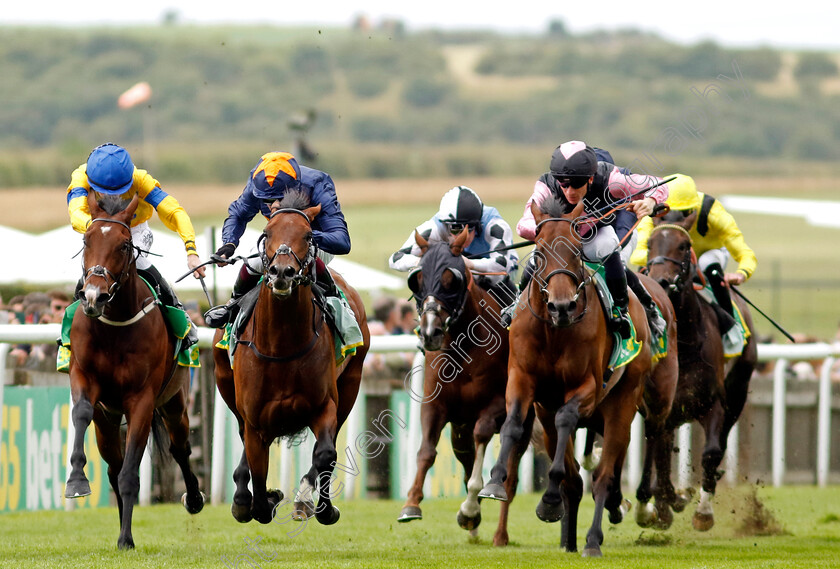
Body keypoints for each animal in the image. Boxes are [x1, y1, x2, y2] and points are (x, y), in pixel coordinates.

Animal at [64, 193, 205, 548]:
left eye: (125, 244)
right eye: (86, 240)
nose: (94, 296)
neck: (114, 325)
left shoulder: (141, 400)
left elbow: (132, 473)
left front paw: (126, 539)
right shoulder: (84, 378)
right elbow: (81, 412)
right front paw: (76, 480)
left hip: (175, 401)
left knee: (179, 448)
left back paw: (194, 498)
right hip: (108, 420)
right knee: (113, 466)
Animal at [212, 193, 370, 524]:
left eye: (308, 235)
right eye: (267, 232)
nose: (282, 273)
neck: (281, 345)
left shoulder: (324, 404)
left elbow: (325, 453)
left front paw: (322, 507)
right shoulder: (254, 415)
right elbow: (257, 474)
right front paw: (260, 498)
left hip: (352, 383)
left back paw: (303, 499)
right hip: (226, 386)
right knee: (242, 435)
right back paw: (242, 496)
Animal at [398, 226, 528, 544]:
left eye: (451, 279)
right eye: (417, 278)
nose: (430, 332)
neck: (464, 347)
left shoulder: (496, 405)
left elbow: (483, 441)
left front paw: (469, 507)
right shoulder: (436, 405)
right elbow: (426, 451)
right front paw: (411, 504)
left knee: (510, 477)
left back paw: (499, 534)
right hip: (460, 426)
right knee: (465, 456)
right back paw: (475, 527)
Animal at [480, 197, 656, 556]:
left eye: (576, 250)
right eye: (539, 252)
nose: (561, 306)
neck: (554, 332)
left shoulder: (585, 387)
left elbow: (567, 420)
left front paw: (548, 500)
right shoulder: (523, 381)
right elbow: (512, 424)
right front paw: (494, 482)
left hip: (622, 404)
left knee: (603, 477)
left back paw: (592, 540)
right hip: (549, 413)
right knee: (575, 478)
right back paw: (572, 537)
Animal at [644, 220, 760, 532]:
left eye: (684, 246)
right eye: (649, 244)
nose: (661, 282)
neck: (684, 346)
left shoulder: (712, 403)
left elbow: (711, 452)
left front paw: (703, 512)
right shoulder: (661, 410)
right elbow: (660, 456)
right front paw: (665, 503)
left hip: (738, 392)